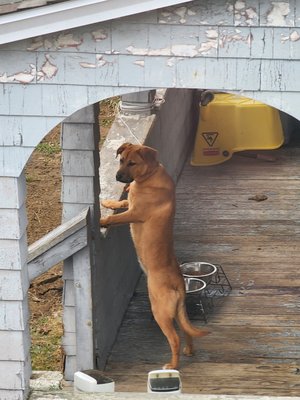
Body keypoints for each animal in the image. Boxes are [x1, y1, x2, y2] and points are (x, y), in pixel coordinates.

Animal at [99, 141, 210, 368]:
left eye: (132, 163)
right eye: (121, 160)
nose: (117, 177)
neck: (148, 177)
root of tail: (179, 283)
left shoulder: (135, 213)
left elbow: (116, 219)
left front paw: (102, 221)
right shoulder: (130, 205)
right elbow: (121, 203)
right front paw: (108, 203)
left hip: (160, 311)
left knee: (174, 338)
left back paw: (172, 365)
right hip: (176, 311)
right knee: (186, 331)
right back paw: (189, 351)